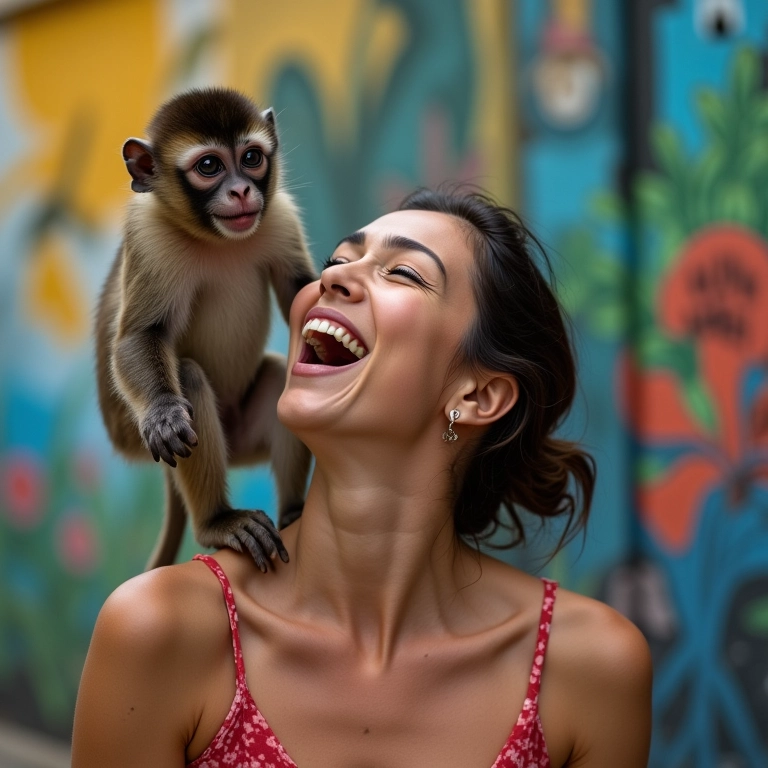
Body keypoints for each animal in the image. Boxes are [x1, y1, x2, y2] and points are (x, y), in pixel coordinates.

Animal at [95, 87, 316, 571]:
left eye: (251, 157)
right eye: (210, 166)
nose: (241, 189)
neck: (217, 241)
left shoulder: (279, 216)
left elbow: (302, 298)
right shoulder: (150, 237)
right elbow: (141, 336)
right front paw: (163, 410)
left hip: (244, 436)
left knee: (284, 376)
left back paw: (294, 511)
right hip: (134, 434)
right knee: (190, 376)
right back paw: (218, 520)